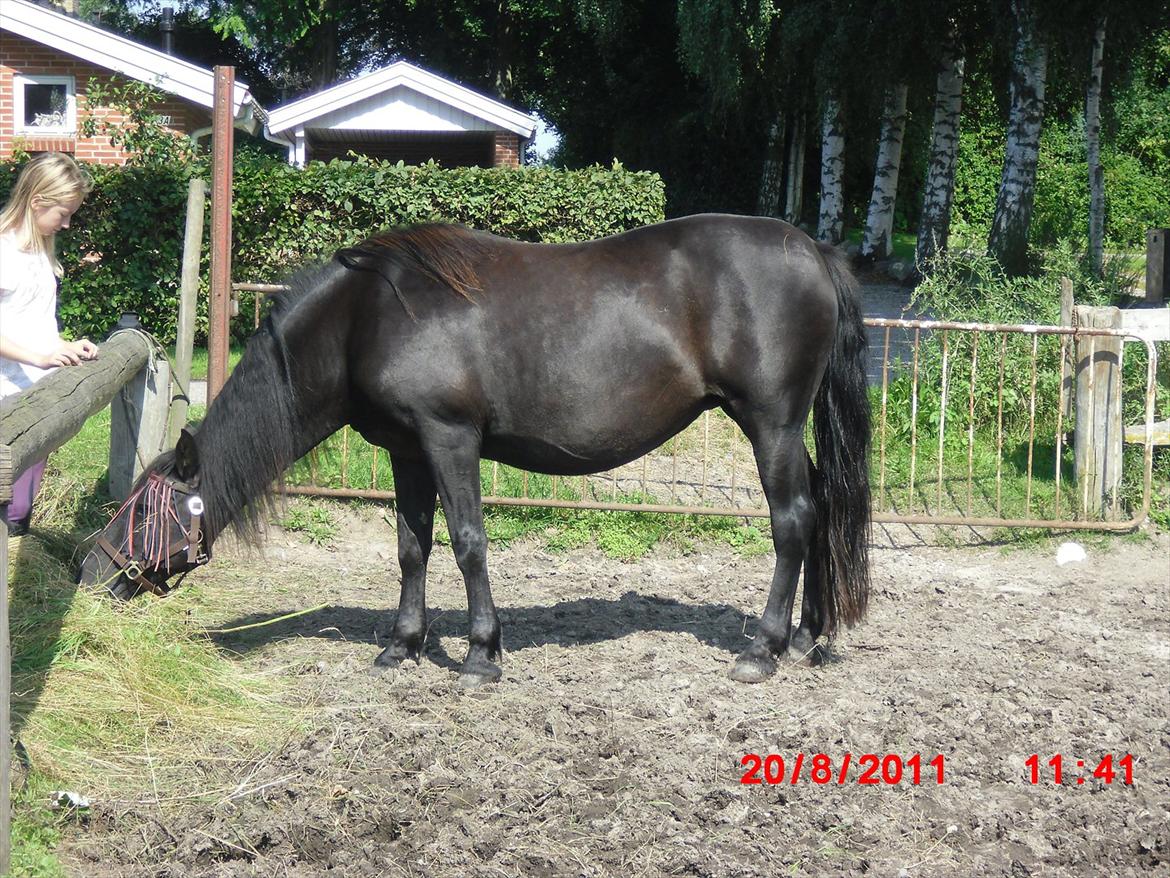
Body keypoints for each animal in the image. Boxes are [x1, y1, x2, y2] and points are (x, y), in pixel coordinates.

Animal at [77, 213, 870, 688]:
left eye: (139, 512)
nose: (91, 574)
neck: (364, 317)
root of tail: (813, 250)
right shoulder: (407, 451)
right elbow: (411, 548)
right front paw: (403, 645)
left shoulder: (449, 438)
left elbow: (467, 543)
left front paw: (481, 656)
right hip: (784, 430)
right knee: (822, 509)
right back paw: (808, 637)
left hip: (769, 424)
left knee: (793, 521)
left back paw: (763, 649)